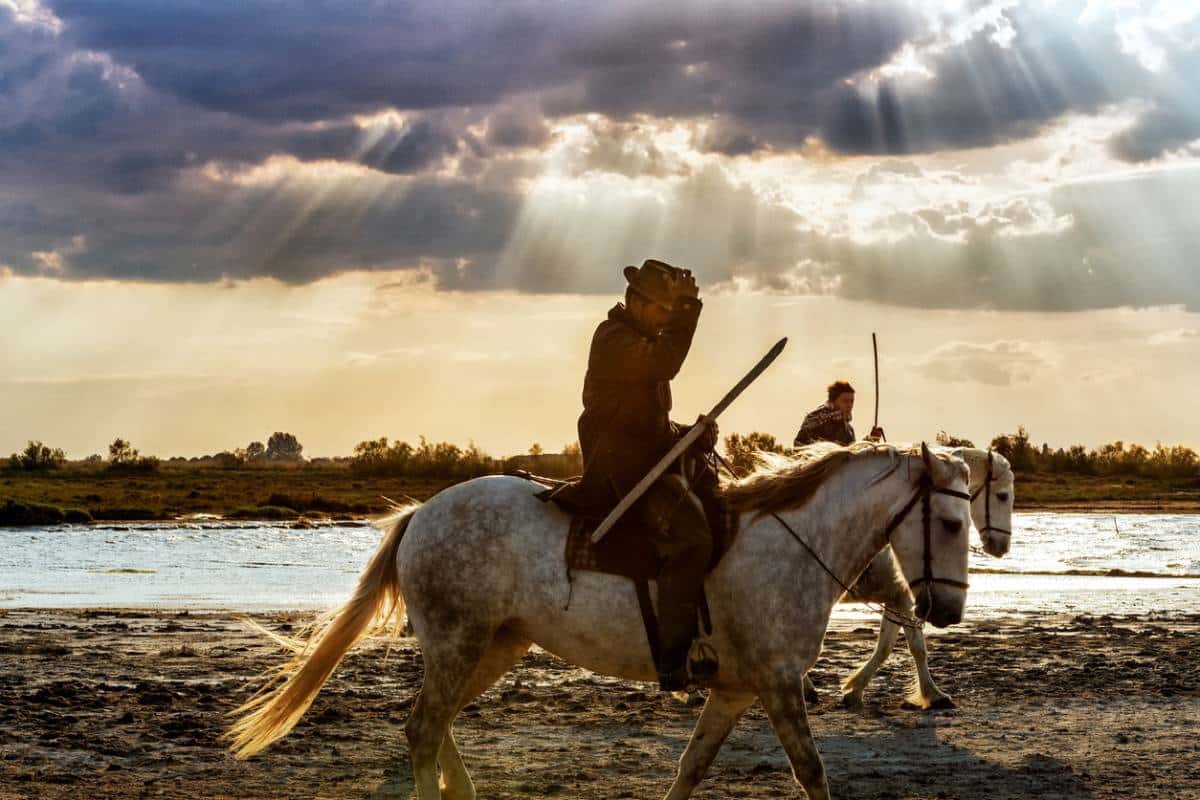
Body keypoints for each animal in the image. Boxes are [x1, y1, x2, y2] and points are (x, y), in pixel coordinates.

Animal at [816, 448, 1012, 710]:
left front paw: (855, 690)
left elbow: (886, 646)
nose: (1002, 546)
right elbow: (915, 647)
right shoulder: (904, 600)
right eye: (1002, 496)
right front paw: (934, 694)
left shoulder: (898, 600)